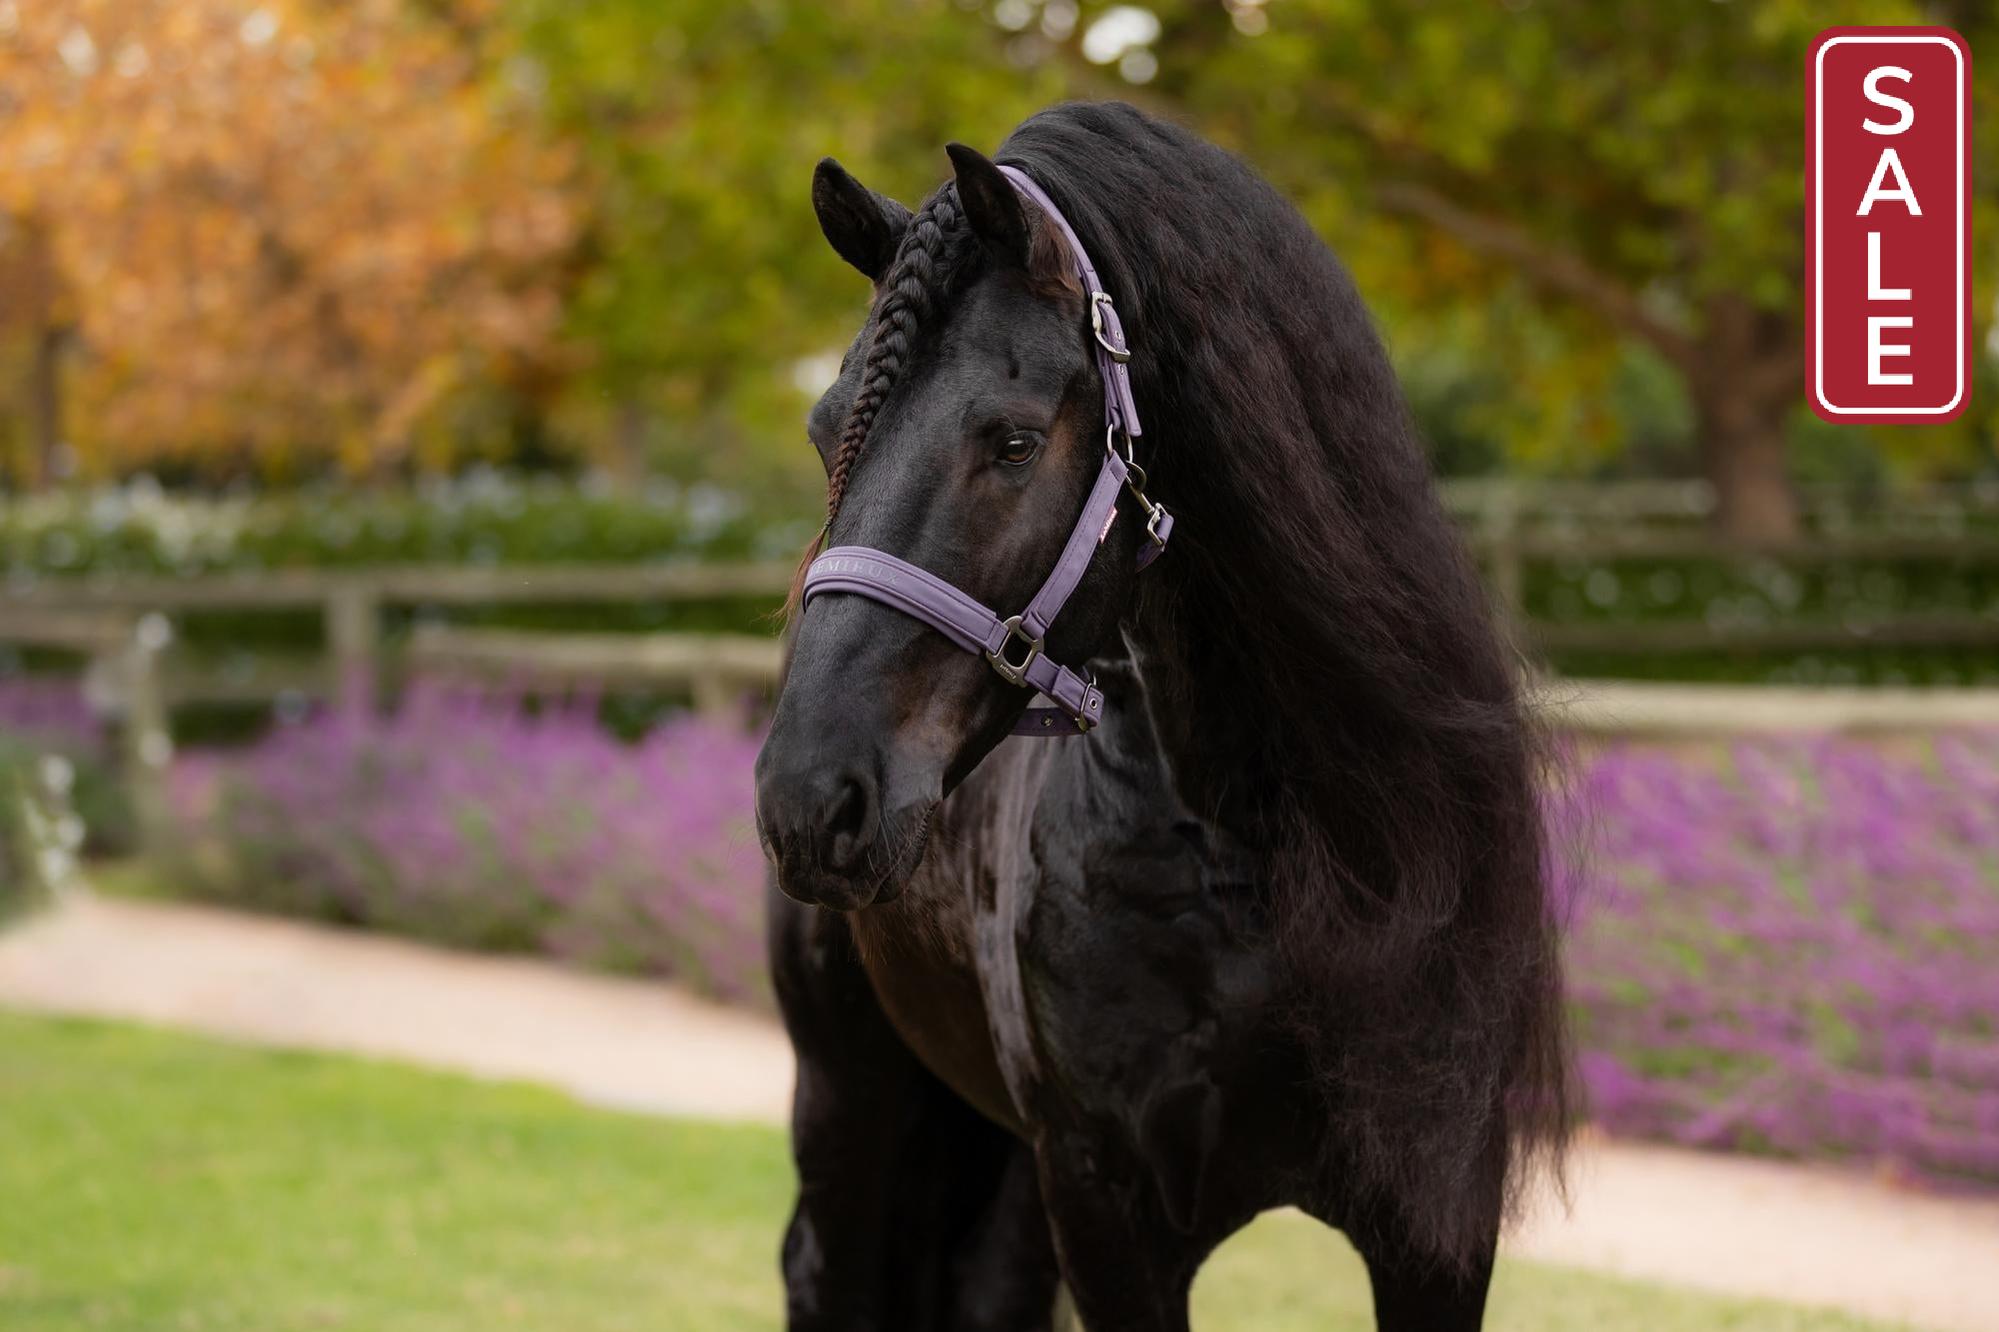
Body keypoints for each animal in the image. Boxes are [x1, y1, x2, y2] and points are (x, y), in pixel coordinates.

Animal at [754, 101, 1570, 1332]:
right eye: (820, 431)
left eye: (1011, 440)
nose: (810, 799)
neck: (1263, 849)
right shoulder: (1109, 1206)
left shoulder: (1437, 1218)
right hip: (851, 1094)